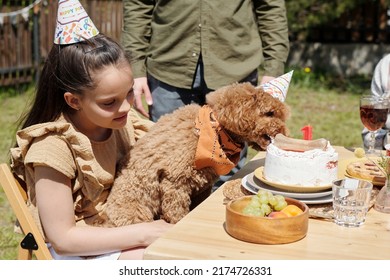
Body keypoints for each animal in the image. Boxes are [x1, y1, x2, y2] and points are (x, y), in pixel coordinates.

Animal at [103, 82, 290, 226]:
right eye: (270, 113)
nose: (284, 133)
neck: (214, 131)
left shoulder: (202, 186)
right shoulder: (174, 182)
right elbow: (177, 212)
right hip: (136, 211)